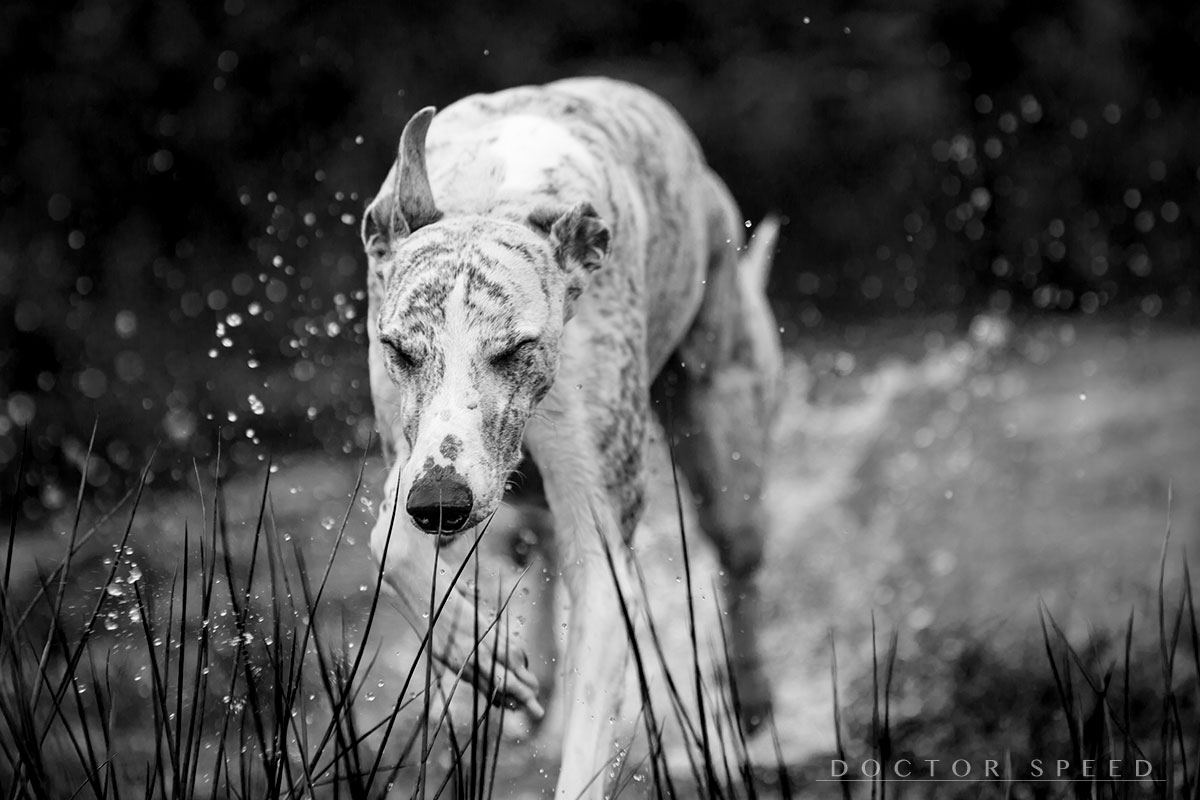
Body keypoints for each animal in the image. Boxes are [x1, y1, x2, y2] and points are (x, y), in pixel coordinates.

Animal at [360, 76, 782, 800]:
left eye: (516, 348)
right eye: (400, 350)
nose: (441, 504)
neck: (493, 194)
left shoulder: (603, 544)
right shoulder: (413, 458)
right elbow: (389, 541)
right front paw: (479, 649)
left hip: (726, 444)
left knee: (740, 559)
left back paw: (749, 699)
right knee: (527, 543)